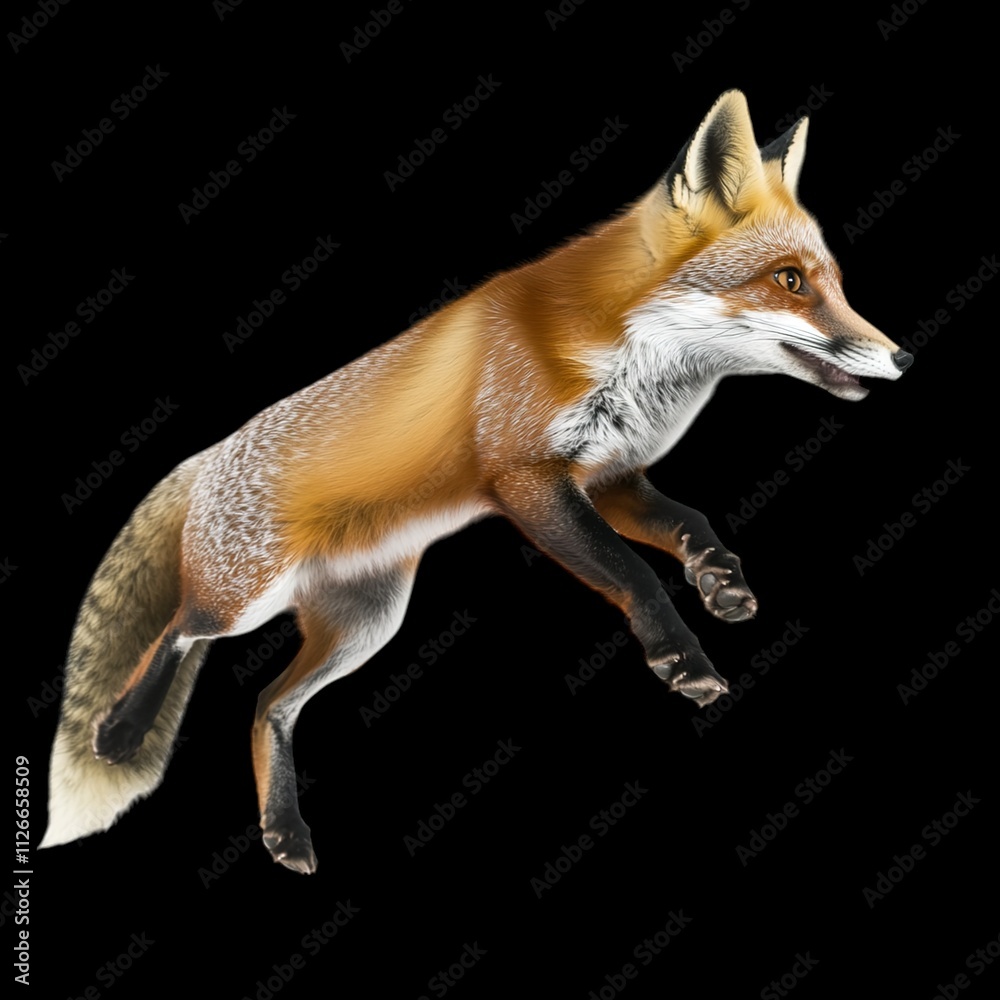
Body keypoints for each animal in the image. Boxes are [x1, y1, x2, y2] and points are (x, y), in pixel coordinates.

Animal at [40, 90, 911, 873]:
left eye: (834, 281)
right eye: (790, 281)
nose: (901, 356)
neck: (632, 358)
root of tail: (208, 452)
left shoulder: (608, 473)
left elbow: (690, 522)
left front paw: (719, 580)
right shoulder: (527, 481)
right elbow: (631, 571)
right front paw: (681, 658)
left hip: (367, 623)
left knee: (264, 706)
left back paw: (283, 831)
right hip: (245, 599)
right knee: (178, 632)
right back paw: (120, 731)